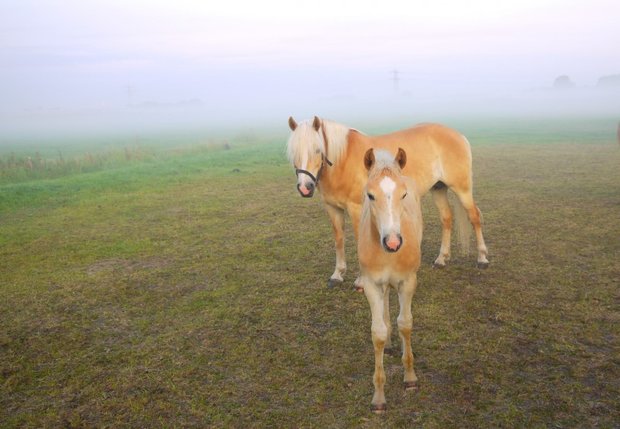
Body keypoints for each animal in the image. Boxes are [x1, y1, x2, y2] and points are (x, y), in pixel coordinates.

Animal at [286, 116, 490, 288]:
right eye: (294, 153)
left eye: (317, 150)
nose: (305, 187)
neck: (343, 160)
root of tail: (458, 135)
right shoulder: (333, 208)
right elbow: (339, 239)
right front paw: (337, 275)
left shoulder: (356, 209)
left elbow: (360, 239)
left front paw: (361, 280)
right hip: (438, 188)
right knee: (446, 218)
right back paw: (441, 259)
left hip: (462, 189)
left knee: (474, 216)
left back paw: (482, 258)